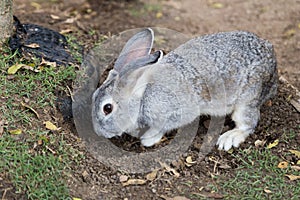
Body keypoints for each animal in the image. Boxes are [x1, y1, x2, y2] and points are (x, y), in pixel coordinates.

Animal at [91, 27, 276, 150]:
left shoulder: (173, 113)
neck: (143, 98)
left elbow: (161, 128)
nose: (98, 132)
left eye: (107, 108)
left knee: (248, 123)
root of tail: (273, 61)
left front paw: (148, 139)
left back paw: (229, 138)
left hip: (247, 98)